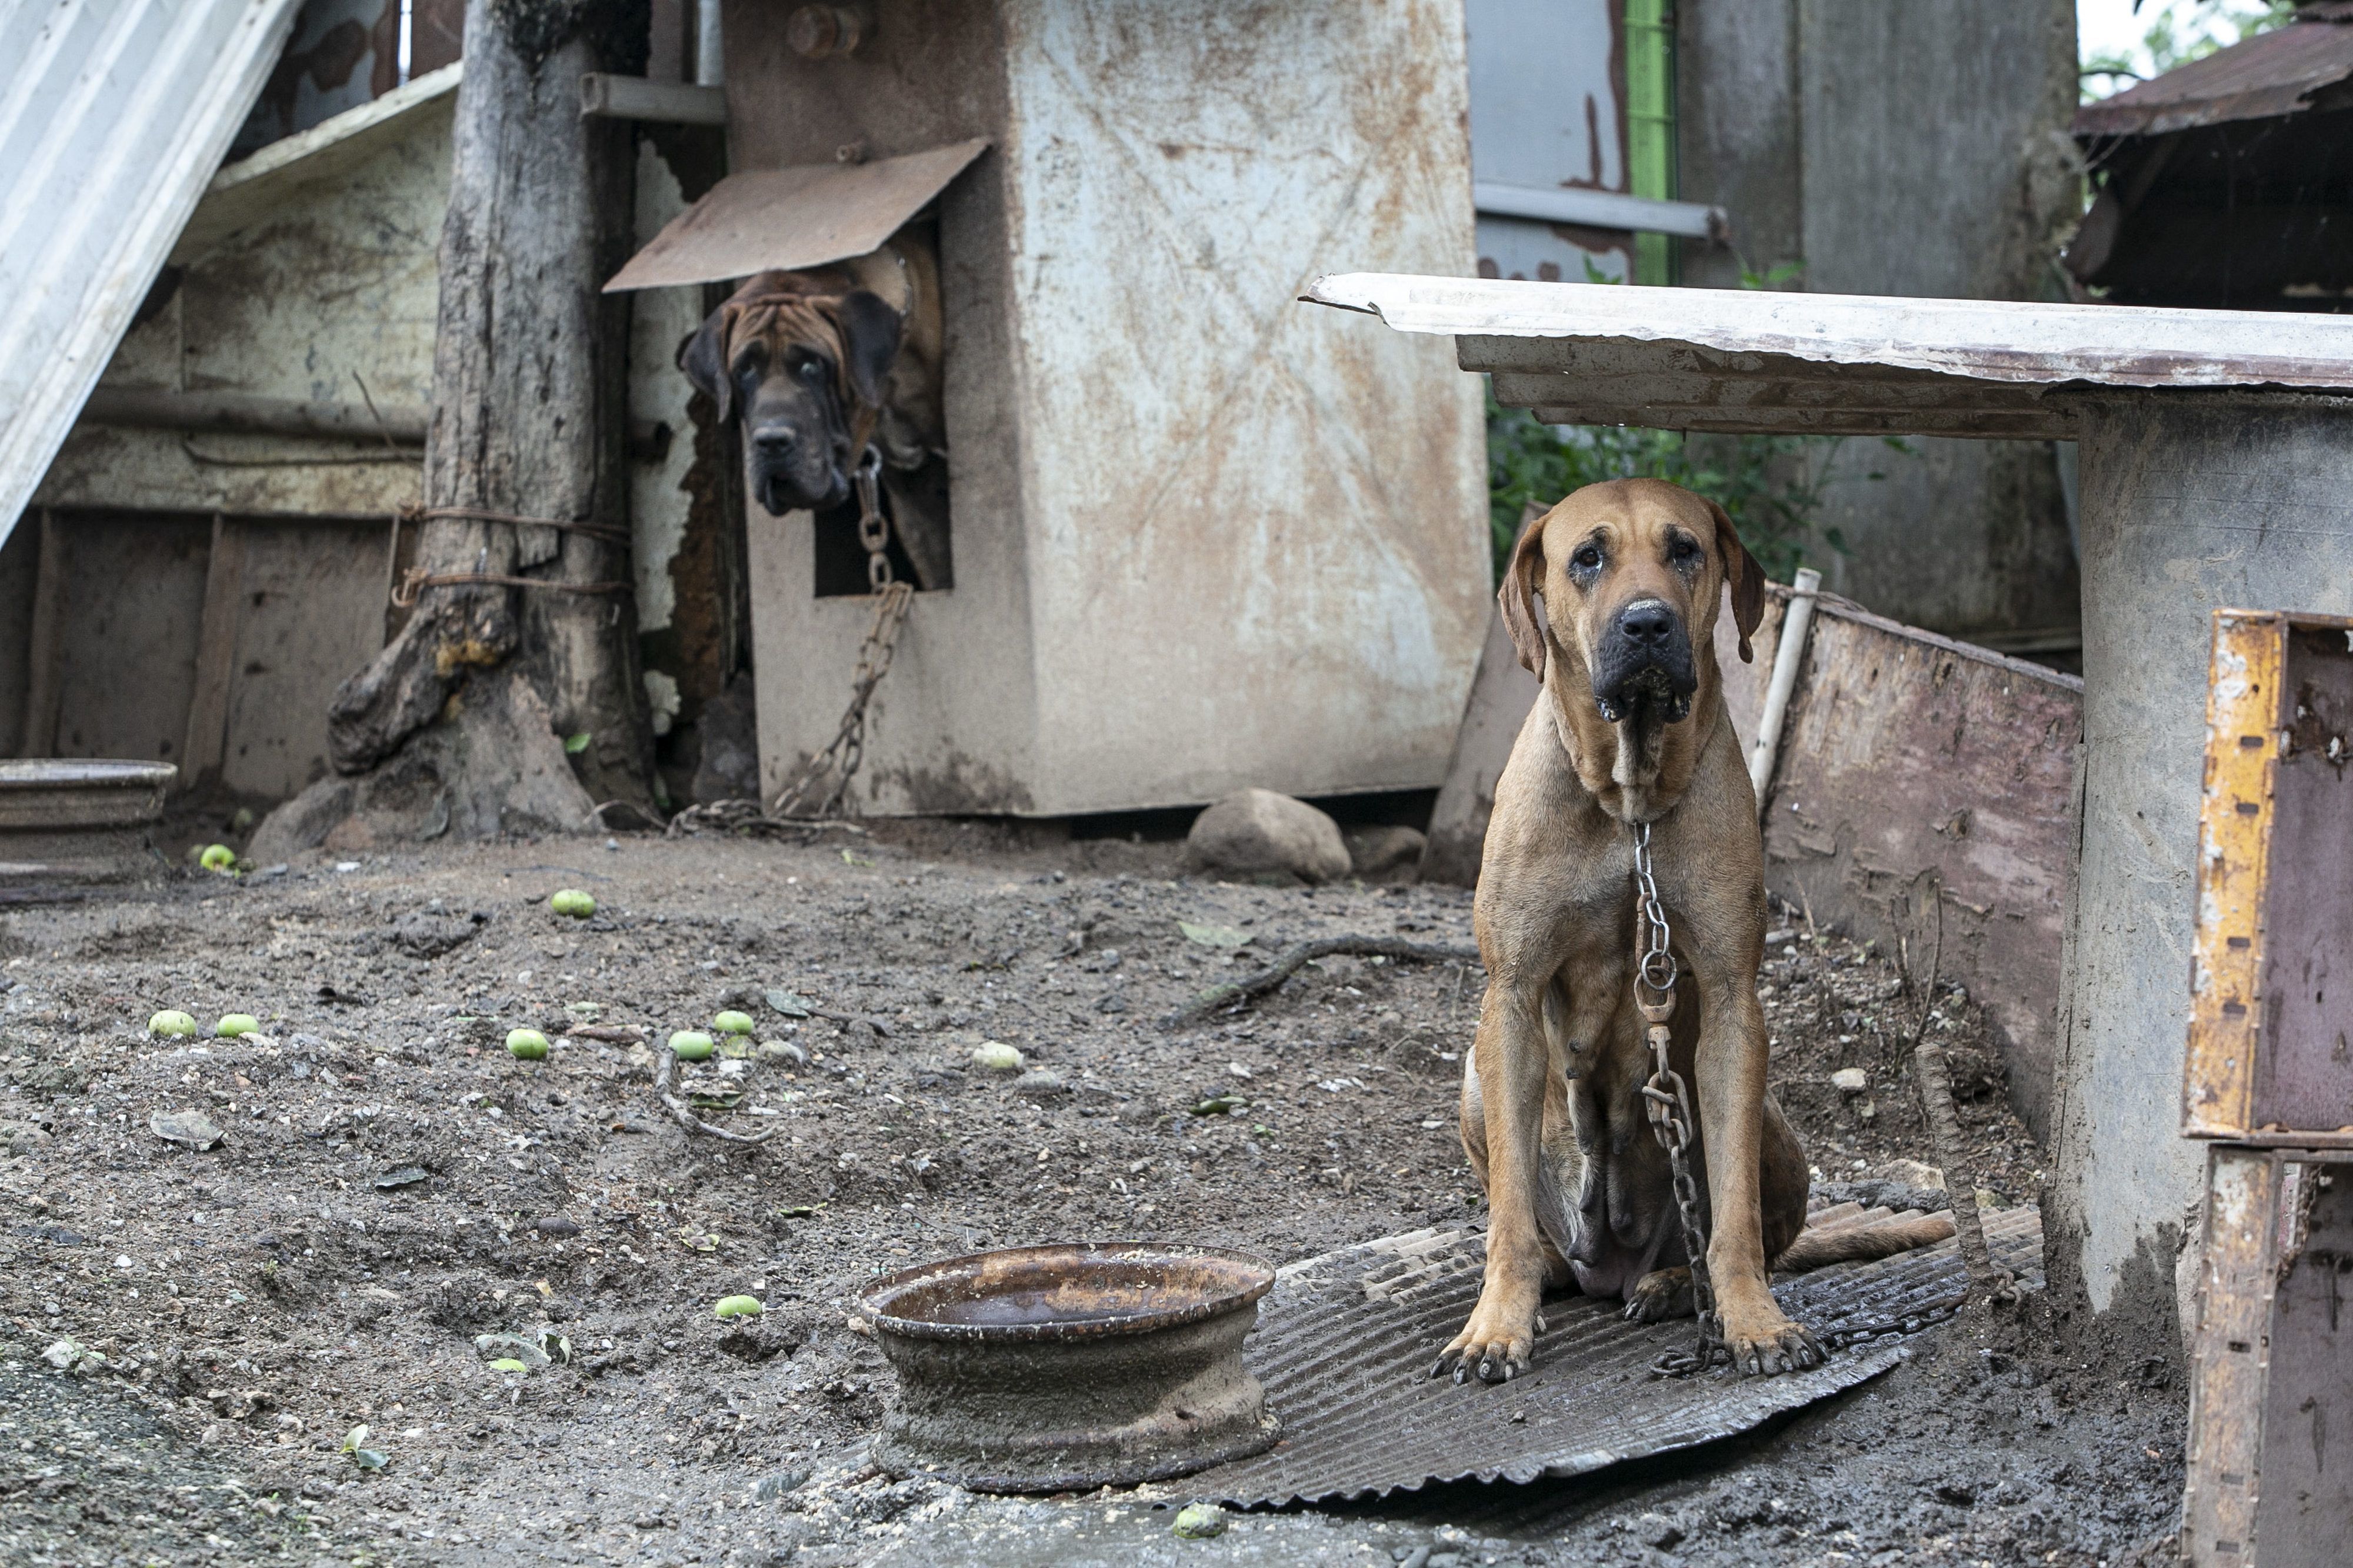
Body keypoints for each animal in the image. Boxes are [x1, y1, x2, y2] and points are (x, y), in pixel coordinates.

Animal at [1431, 480, 1967, 1384]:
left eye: (1685, 550)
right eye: (1587, 558)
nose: (1647, 624)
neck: (1630, 803)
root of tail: (1610, 1266)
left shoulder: (1729, 1002)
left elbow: (1739, 1217)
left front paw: (1754, 1319)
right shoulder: (1509, 998)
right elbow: (1504, 1208)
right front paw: (1496, 1324)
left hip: (1773, 1120)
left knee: (1750, 1225)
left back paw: (1680, 1283)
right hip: (1474, 1079)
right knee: (1531, 1220)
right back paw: (1553, 1271)